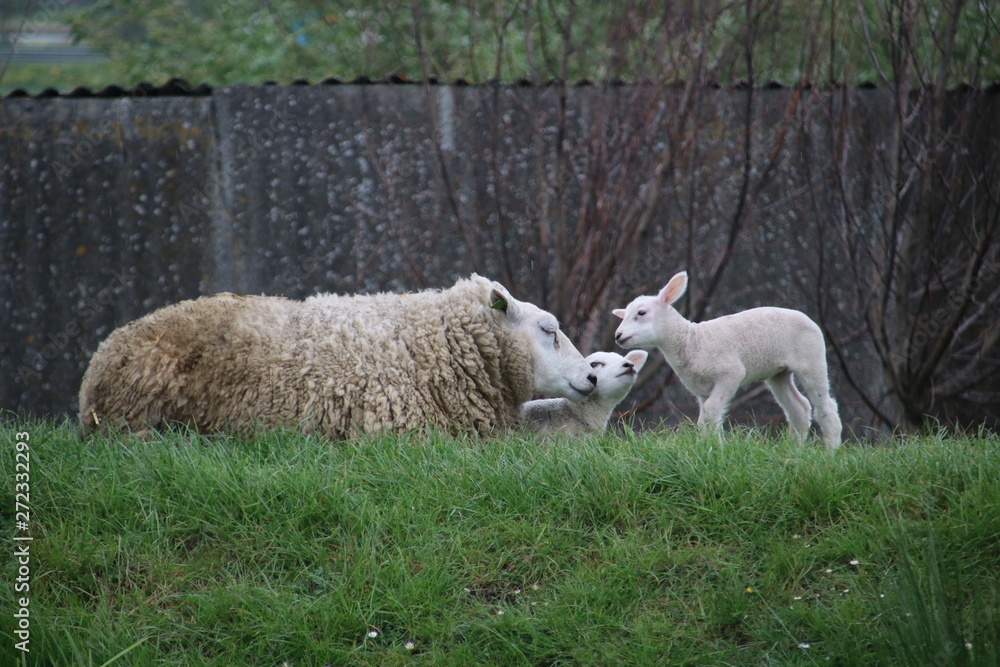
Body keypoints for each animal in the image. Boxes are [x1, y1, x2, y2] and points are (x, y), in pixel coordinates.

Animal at [612, 271, 842, 448]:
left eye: (641, 313)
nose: (618, 336)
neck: (692, 342)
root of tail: (807, 318)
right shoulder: (702, 389)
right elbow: (705, 418)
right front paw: (710, 445)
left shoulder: (730, 374)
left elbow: (710, 412)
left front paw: (716, 447)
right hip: (778, 373)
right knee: (799, 408)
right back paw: (794, 451)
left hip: (811, 358)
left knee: (826, 406)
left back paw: (831, 452)